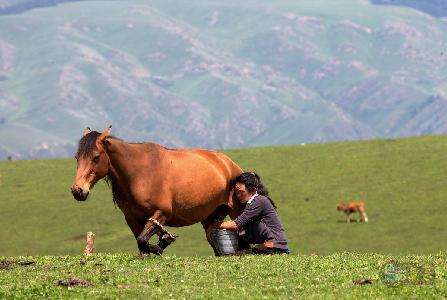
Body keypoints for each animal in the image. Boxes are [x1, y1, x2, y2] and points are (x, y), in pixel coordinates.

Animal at [71, 126, 243, 255]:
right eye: (77, 157)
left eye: (96, 157)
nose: (77, 190)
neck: (139, 174)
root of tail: (229, 164)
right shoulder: (132, 219)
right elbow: (141, 244)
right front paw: (160, 243)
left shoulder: (162, 213)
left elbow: (143, 240)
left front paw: (161, 244)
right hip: (210, 217)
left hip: (236, 211)